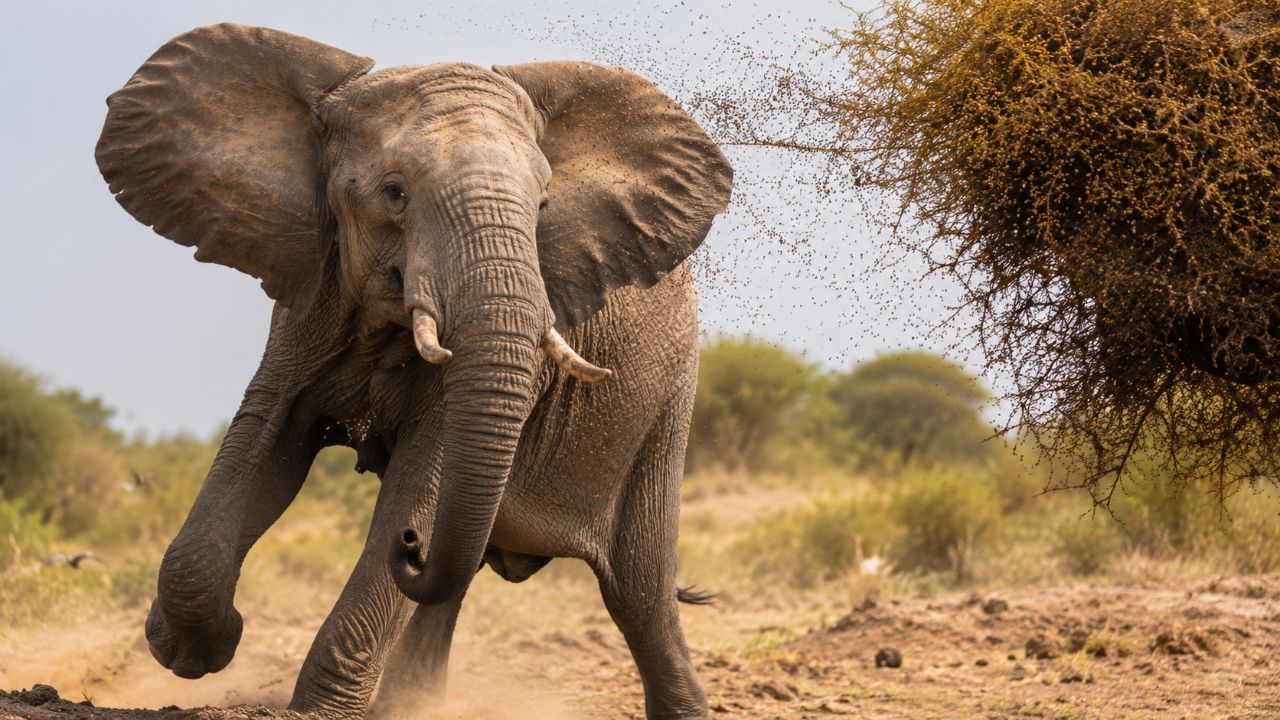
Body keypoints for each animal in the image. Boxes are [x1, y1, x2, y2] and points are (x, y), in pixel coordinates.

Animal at [94, 24, 732, 720]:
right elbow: (265, 443)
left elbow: (422, 479)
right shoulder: (310, 291)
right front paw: (192, 649)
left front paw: (313, 711)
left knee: (638, 595)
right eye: (394, 193)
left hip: (666, 405)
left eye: (542, 206)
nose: (410, 547)